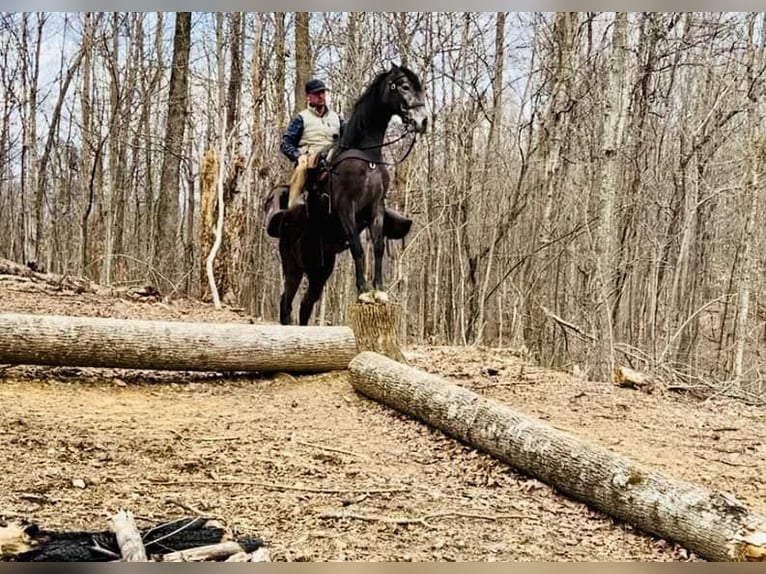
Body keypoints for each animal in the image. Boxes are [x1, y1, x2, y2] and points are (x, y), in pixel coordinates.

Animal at [268, 65, 428, 326]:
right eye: (404, 86)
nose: (422, 121)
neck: (367, 157)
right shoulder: (346, 209)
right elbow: (357, 248)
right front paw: (363, 292)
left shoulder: (376, 209)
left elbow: (378, 247)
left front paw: (379, 291)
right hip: (293, 267)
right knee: (286, 301)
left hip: (319, 271)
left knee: (305, 305)